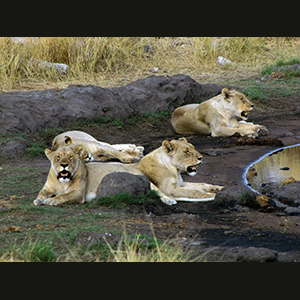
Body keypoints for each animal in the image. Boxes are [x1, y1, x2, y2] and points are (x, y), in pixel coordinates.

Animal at [33, 136, 223, 206]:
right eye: (187, 152)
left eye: (193, 148)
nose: (201, 158)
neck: (174, 169)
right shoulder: (171, 188)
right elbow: (193, 192)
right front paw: (209, 195)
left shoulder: (182, 183)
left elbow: (201, 184)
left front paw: (217, 188)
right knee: (157, 192)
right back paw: (169, 201)